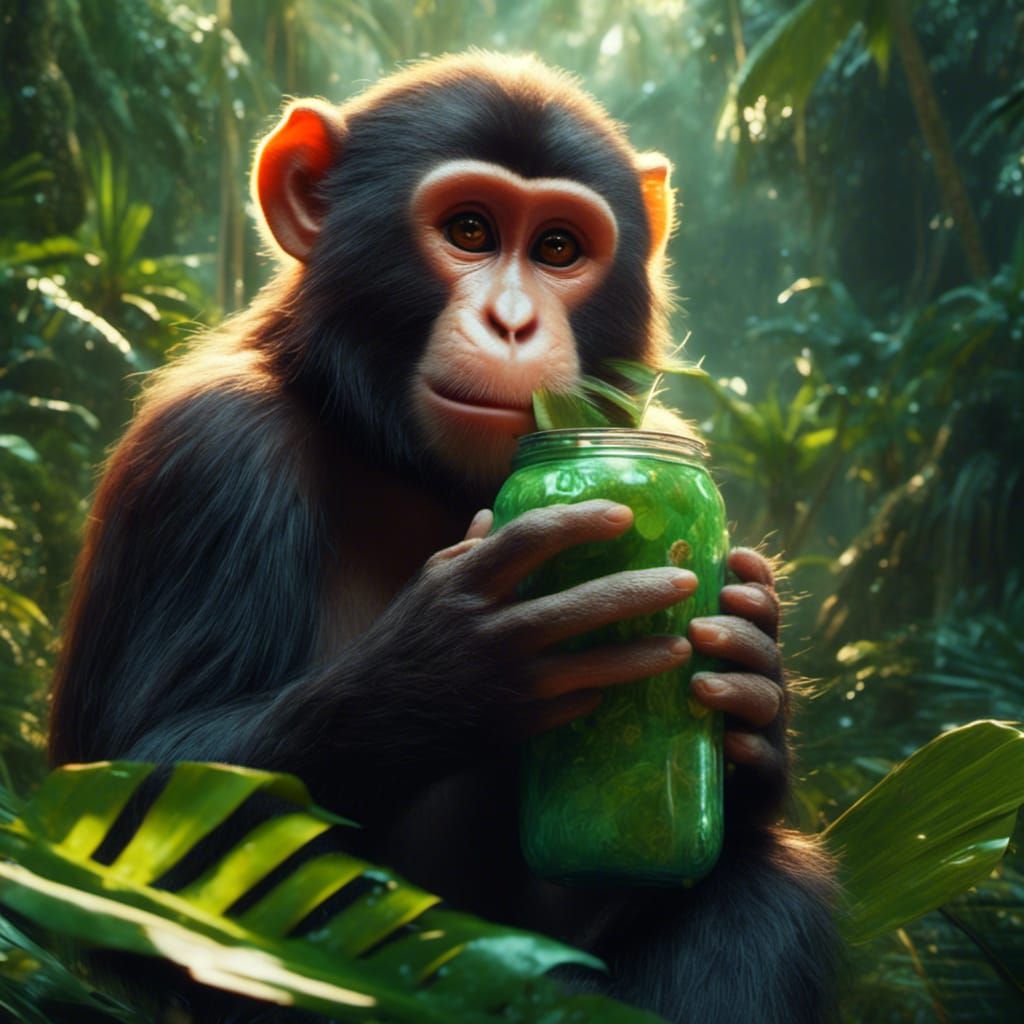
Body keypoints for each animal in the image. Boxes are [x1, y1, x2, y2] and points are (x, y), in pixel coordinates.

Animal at [48, 53, 838, 1023]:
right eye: (469, 230)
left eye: (558, 249)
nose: (513, 321)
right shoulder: (207, 456)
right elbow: (136, 801)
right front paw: (453, 659)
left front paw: (753, 674)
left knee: (764, 887)